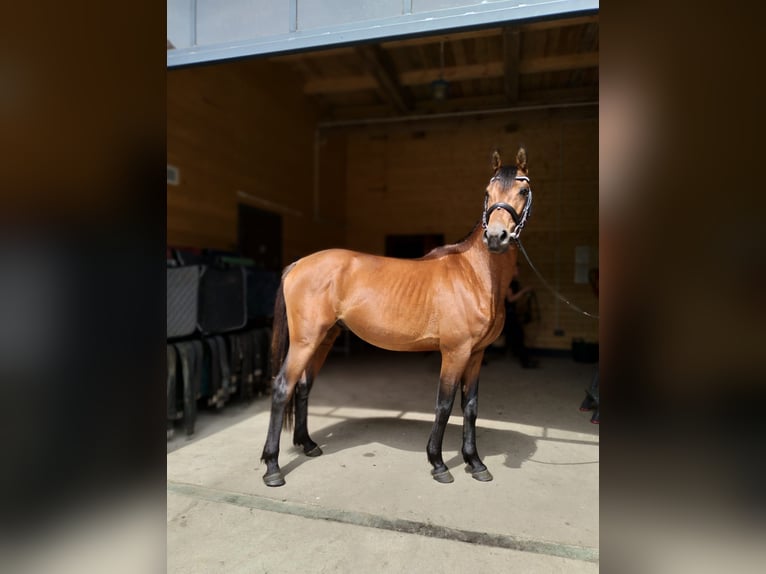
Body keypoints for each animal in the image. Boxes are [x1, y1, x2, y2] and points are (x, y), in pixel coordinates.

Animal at [262, 145, 536, 486]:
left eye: (523, 191)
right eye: (487, 192)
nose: (497, 237)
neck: (475, 274)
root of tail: (298, 264)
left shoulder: (476, 355)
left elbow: (470, 407)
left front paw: (475, 463)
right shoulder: (455, 352)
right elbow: (444, 405)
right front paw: (439, 463)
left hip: (323, 339)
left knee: (302, 387)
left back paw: (308, 445)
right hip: (304, 341)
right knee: (282, 388)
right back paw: (272, 468)